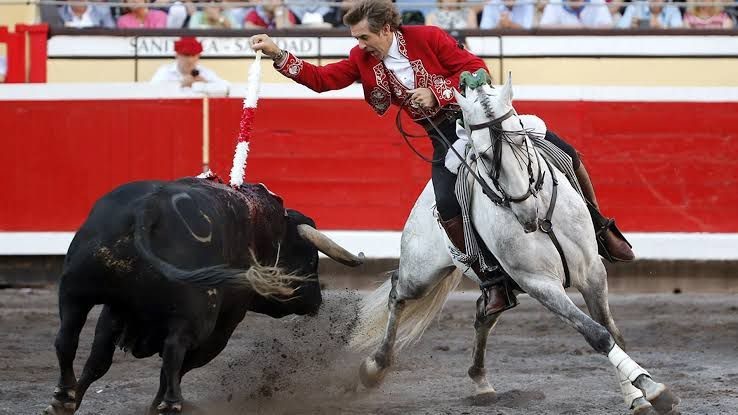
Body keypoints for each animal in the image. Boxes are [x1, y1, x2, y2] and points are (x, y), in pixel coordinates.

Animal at [44, 177, 360, 414]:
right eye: (311, 259)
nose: (317, 301)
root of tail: (149, 209)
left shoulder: (115, 310)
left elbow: (98, 360)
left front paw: (72, 400)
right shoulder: (224, 325)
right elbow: (179, 364)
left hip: (75, 290)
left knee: (67, 338)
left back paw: (63, 397)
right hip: (199, 314)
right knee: (174, 351)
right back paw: (170, 405)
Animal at [350, 73, 680, 414]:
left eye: (521, 139)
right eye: (483, 156)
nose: (526, 214)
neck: (542, 214)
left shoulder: (592, 271)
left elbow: (612, 331)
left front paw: (635, 396)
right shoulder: (540, 283)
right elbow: (597, 334)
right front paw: (654, 390)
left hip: (501, 283)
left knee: (484, 312)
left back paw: (481, 383)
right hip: (422, 271)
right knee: (398, 293)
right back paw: (373, 369)